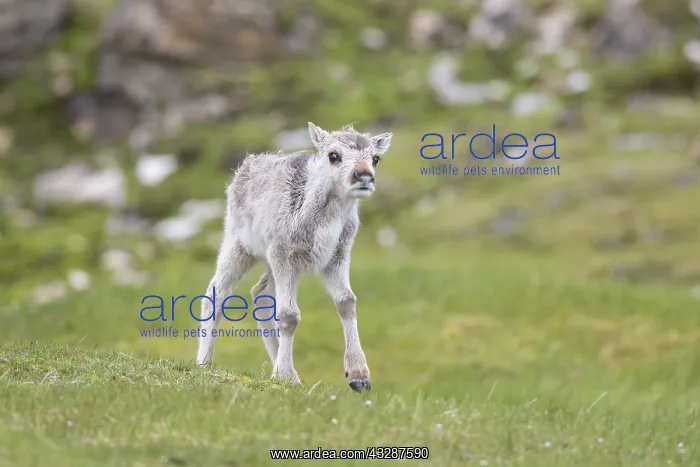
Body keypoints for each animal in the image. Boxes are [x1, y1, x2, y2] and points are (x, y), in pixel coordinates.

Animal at [196, 122, 392, 392]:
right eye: (333, 155)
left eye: (375, 158)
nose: (363, 176)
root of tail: (244, 167)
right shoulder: (285, 256)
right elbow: (289, 315)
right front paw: (285, 375)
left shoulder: (338, 256)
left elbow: (347, 301)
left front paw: (359, 376)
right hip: (238, 246)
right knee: (216, 292)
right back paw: (204, 362)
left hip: (270, 261)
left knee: (259, 293)